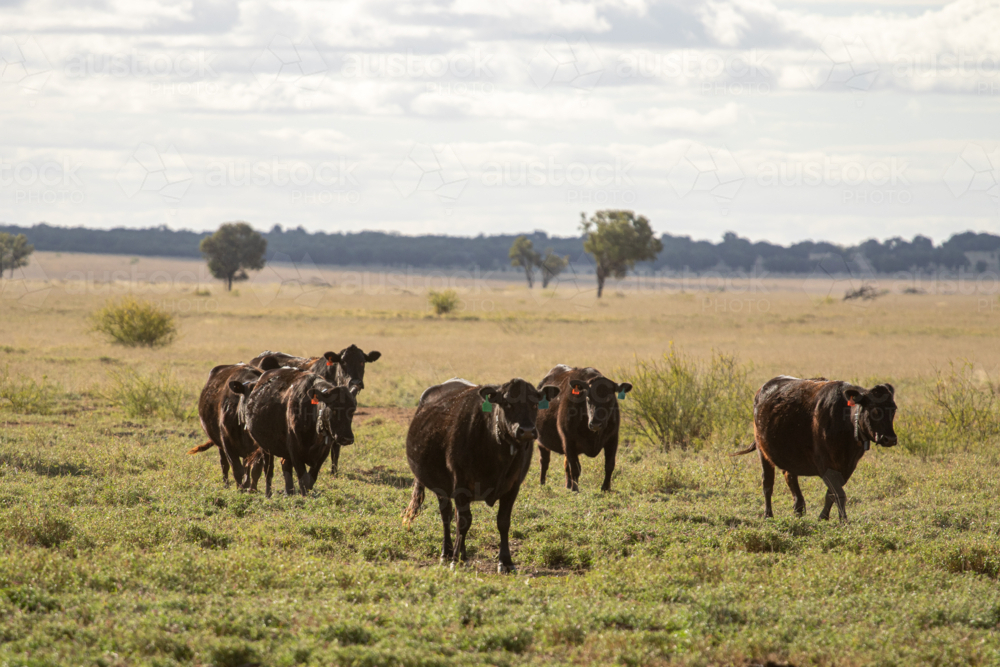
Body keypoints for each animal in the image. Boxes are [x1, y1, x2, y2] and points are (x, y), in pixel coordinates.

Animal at [229, 367, 357, 497]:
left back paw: (288, 492)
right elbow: (303, 479)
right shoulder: (295, 450)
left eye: (352, 410)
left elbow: (311, 478)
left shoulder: (323, 451)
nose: (347, 438)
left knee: (285, 466)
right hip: (265, 448)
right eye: (334, 409)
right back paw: (268, 494)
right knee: (268, 470)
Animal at [403, 377, 560, 573]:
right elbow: (463, 522)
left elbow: (503, 522)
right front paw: (455, 559)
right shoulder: (460, 485)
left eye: (535, 403)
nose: (527, 430)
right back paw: (447, 553)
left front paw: (505, 562)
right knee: (447, 516)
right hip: (441, 488)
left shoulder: (513, 487)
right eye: (507, 403)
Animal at [733, 376, 898, 521]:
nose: (890, 439)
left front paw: (823, 517)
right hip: (763, 453)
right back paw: (768, 515)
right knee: (767, 484)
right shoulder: (825, 465)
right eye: (874, 409)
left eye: (894, 409)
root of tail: (763, 389)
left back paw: (799, 509)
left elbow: (831, 494)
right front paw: (843, 520)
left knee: (790, 477)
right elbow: (838, 494)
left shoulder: (847, 467)